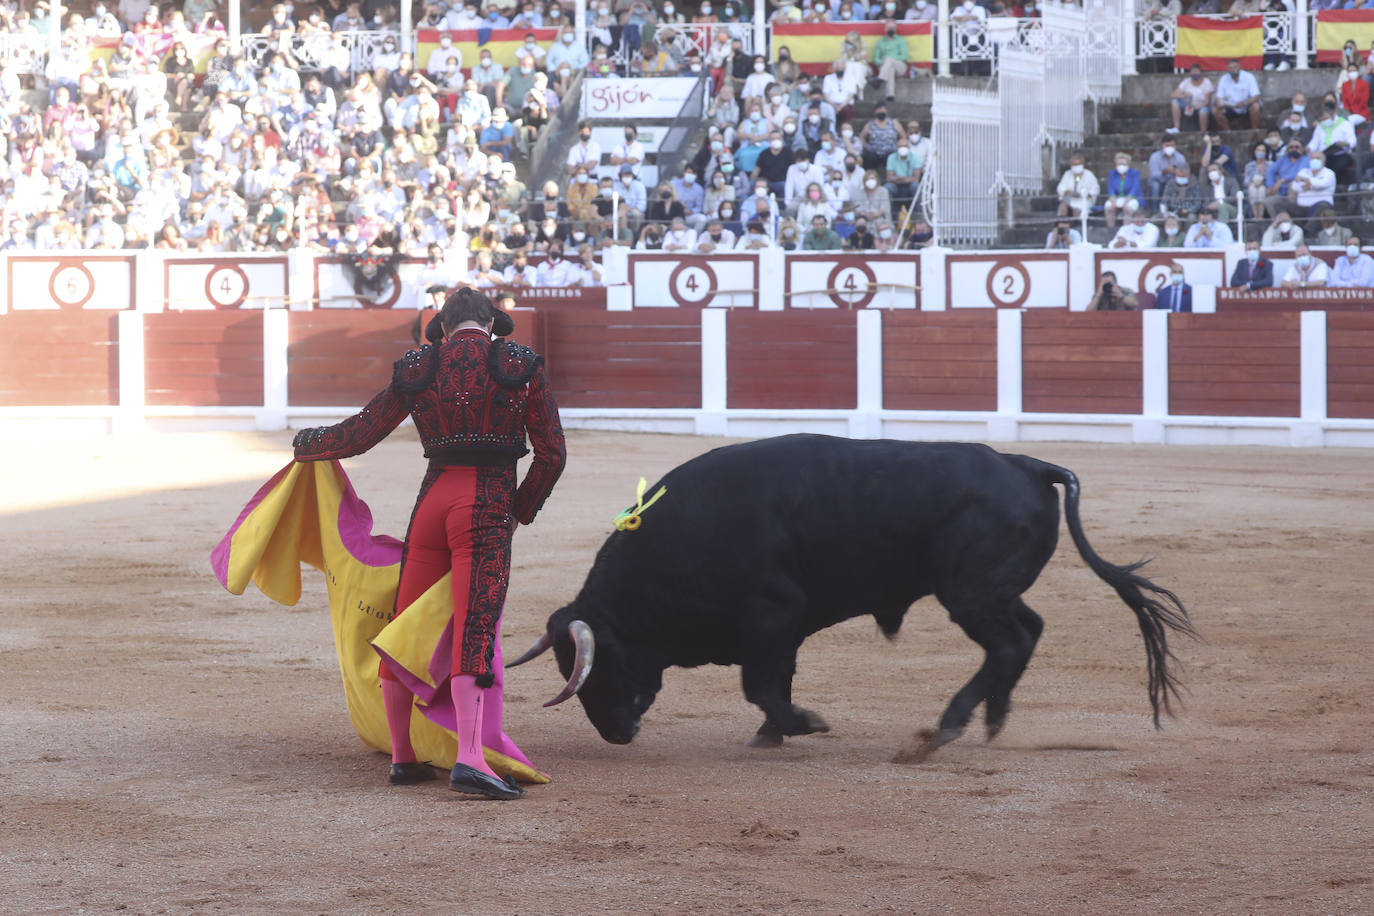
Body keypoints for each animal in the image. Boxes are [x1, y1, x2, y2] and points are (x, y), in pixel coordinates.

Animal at [511, 436, 1198, 758]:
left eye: (602, 667)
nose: (615, 734)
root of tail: (1025, 465)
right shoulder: (778, 629)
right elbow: (773, 682)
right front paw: (772, 733)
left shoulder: (772, 615)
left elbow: (760, 684)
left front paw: (801, 724)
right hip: (990, 592)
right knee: (1027, 633)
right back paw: (993, 718)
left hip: (971, 594)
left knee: (1007, 643)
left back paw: (947, 726)